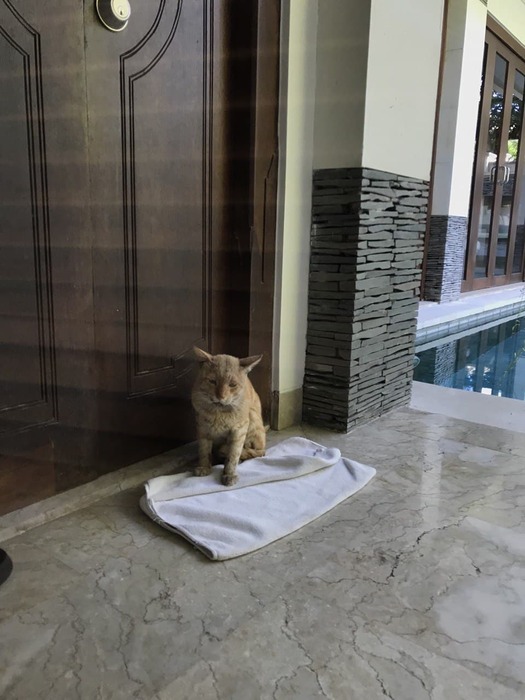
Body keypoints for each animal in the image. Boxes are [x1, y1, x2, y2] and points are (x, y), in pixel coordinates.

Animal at [191, 347, 266, 486]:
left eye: (232, 384)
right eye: (212, 381)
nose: (221, 396)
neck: (219, 413)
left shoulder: (239, 430)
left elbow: (233, 454)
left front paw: (229, 474)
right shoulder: (202, 427)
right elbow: (204, 451)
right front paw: (204, 467)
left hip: (252, 418)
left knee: (259, 452)